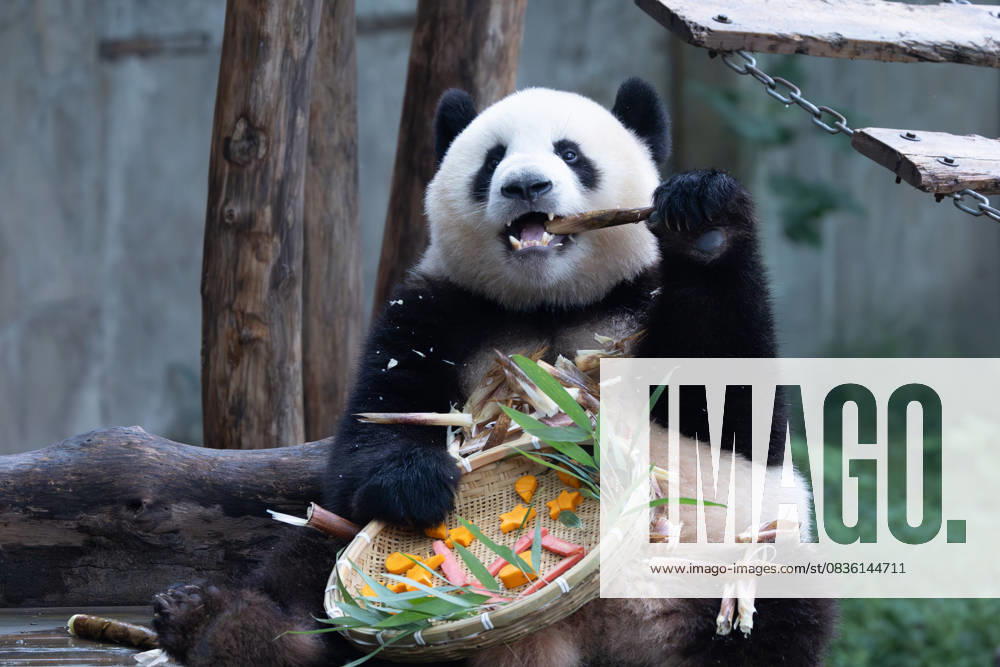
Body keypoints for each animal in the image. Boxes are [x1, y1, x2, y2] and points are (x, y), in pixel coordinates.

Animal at [151, 79, 835, 666]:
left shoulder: (640, 303)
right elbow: (373, 431)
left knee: (772, 621)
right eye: (492, 159)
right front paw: (420, 483)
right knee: (310, 561)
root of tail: (577, 634)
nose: (526, 185)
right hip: (338, 547)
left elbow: (733, 411)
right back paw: (223, 625)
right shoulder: (434, 310)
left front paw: (702, 219)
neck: (552, 302)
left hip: (739, 557)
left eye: (569, 152)